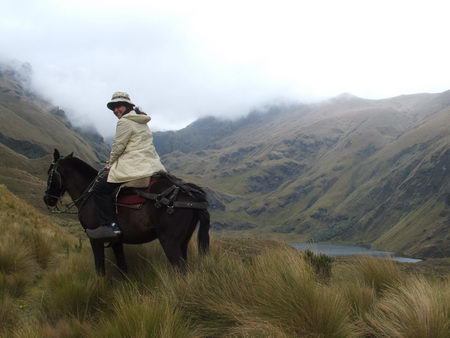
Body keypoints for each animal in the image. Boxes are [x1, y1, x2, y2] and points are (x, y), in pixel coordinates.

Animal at [43, 150, 210, 274]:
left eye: (50, 172)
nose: (47, 199)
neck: (88, 192)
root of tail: (189, 193)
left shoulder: (95, 239)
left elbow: (100, 270)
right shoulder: (116, 241)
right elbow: (123, 268)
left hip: (169, 241)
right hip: (183, 242)